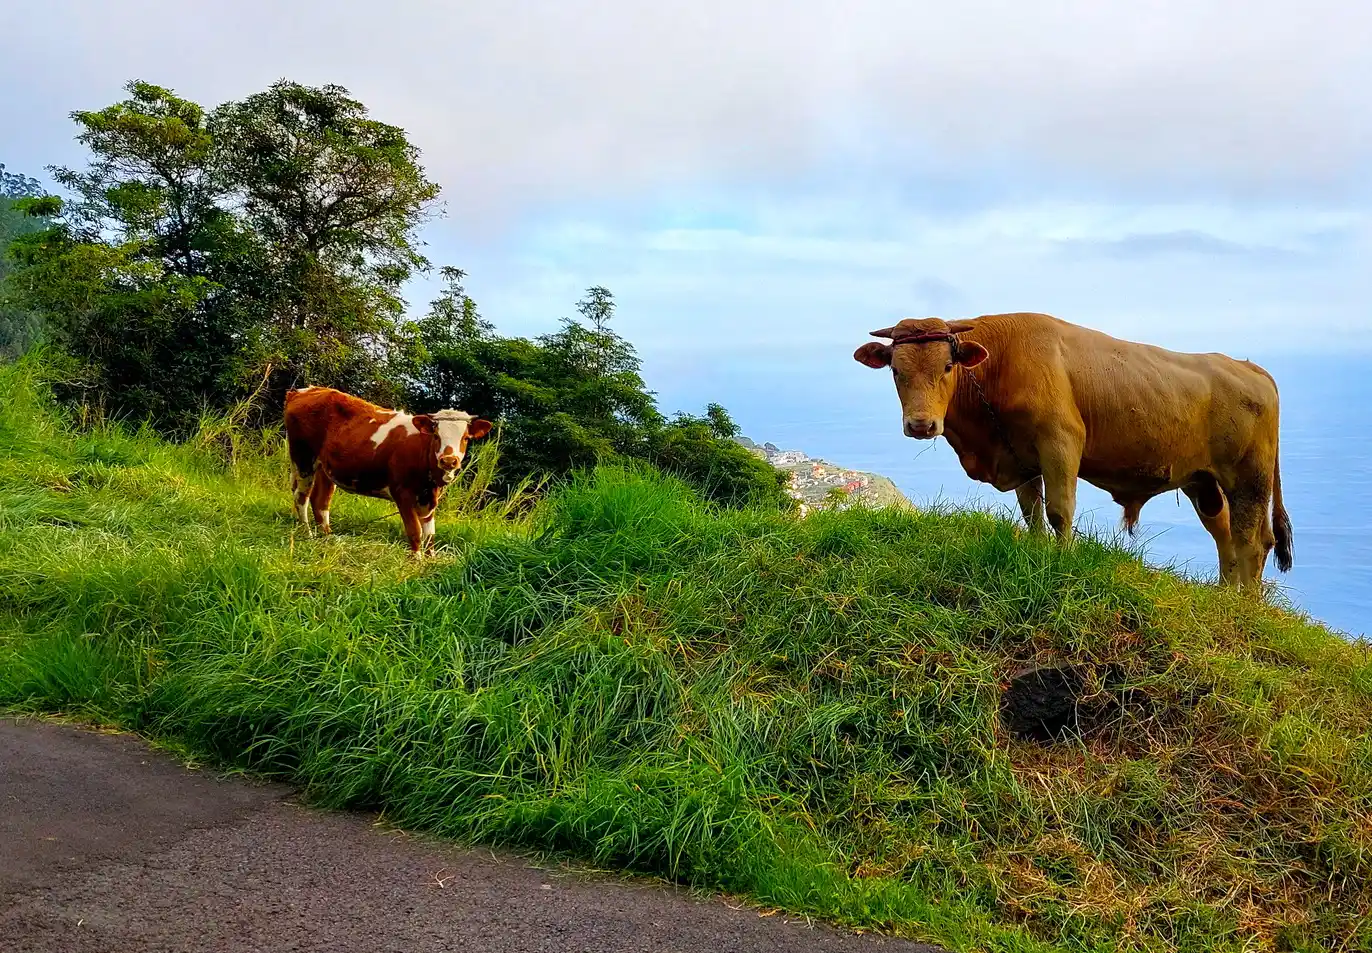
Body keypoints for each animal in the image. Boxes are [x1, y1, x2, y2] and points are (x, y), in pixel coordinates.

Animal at [281, 383, 491, 556]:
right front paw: (415, 564)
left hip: (325, 468)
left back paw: (327, 539)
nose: (449, 461)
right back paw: (308, 535)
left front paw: (429, 562)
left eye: (465, 438)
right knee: (301, 497)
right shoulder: (402, 494)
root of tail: (303, 391)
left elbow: (430, 538)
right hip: (302, 458)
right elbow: (415, 533)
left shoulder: (430, 500)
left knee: (320, 502)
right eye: (436, 435)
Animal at [850, 312, 1289, 589]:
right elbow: (1032, 514)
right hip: (1203, 482)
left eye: (946, 366)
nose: (921, 425)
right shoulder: (1021, 457)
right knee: (1225, 534)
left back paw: (1246, 607)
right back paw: (1224, 599)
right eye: (896, 371)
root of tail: (1248, 367)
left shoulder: (1060, 441)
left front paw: (1061, 562)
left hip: (1248, 478)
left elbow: (1059, 511)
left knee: (1252, 542)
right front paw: (1037, 555)